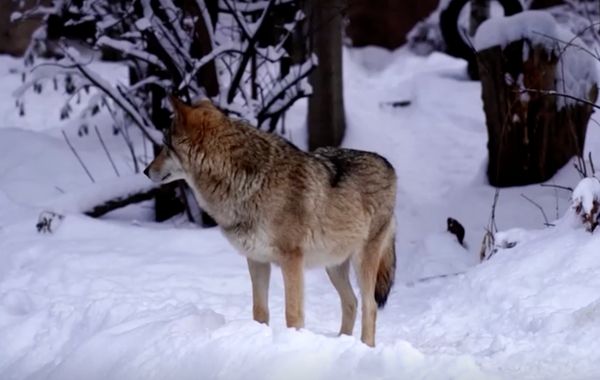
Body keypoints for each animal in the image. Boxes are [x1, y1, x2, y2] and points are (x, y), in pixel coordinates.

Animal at [144, 98, 398, 348]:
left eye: (165, 145)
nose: (146, 171)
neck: (247, 180)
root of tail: (389, 165)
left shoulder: (291, 260)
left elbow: (292, 314)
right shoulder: (256, 259)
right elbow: (259, 311)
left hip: (361, 262)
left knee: (370, 306)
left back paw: (365, 348)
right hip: (333, 266)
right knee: (351, 302)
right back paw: (342, 343)